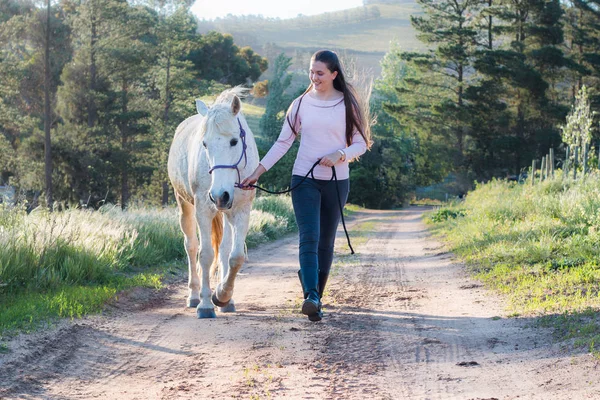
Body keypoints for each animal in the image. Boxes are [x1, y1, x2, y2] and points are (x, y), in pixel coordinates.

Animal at [166, 88, 258, 318]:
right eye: (205, 144)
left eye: (234, 141)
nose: (219, 196)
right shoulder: (203, 210)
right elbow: (205, 255)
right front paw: (206, 304)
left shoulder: (241, 211)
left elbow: (235, 257)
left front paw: (223, 296)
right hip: (185, 204)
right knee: (191, 246)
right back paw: (194, 296)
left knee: (223, 250)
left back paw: (226, 300)